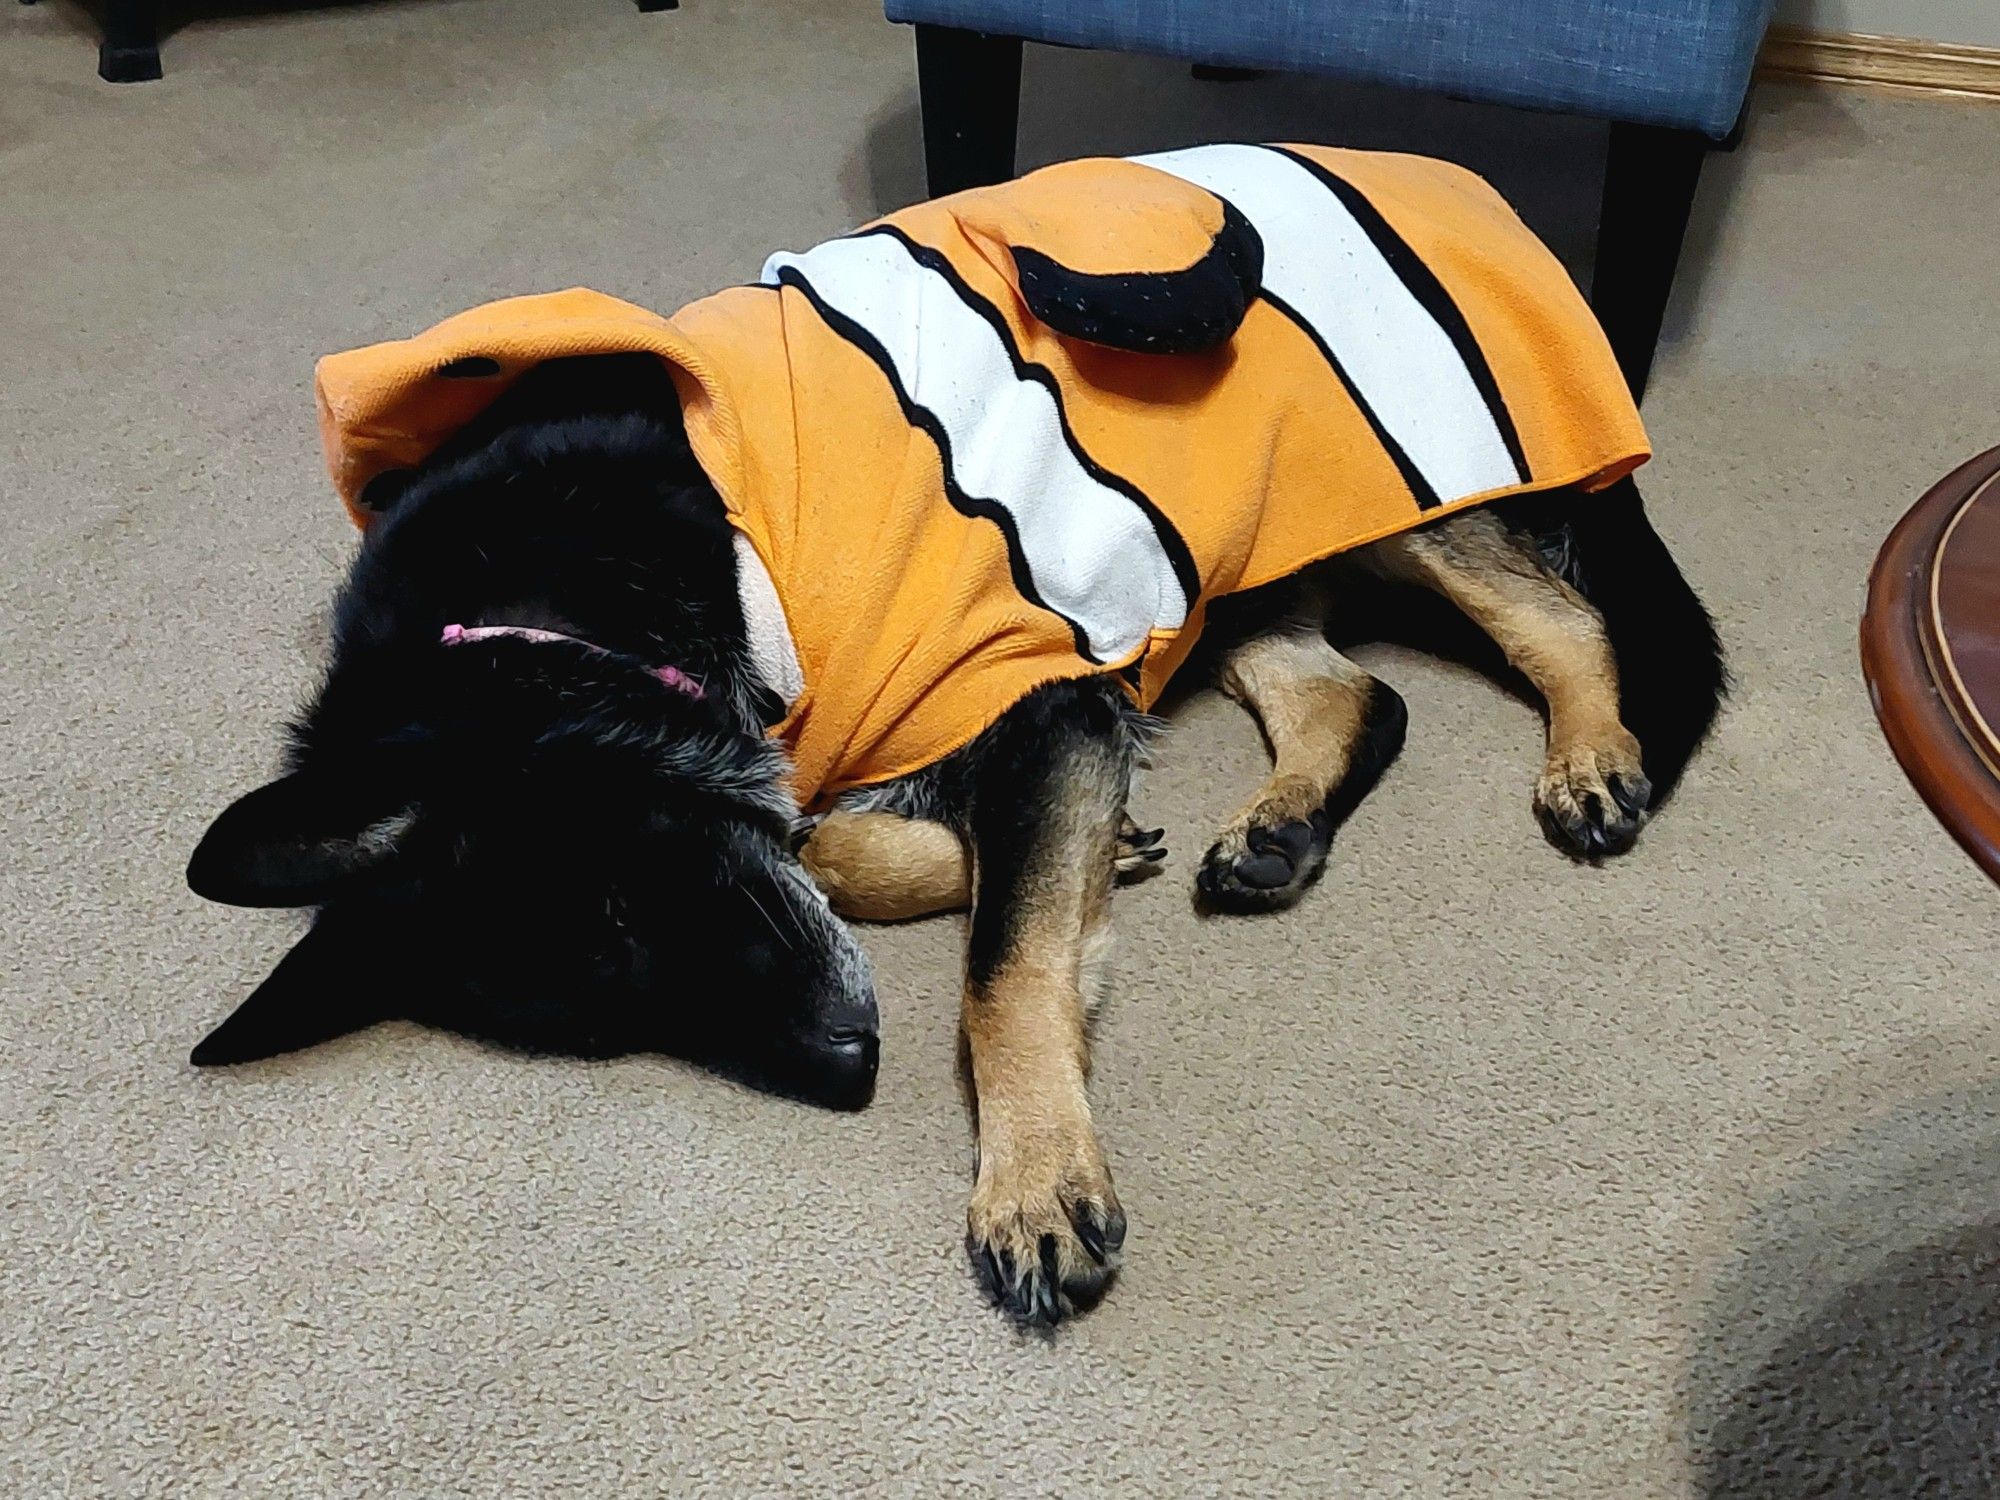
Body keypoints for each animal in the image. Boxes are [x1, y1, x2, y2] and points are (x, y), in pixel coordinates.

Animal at [184, 147, 1720, 1328]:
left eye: (628, 913)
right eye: (608, 1015)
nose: (845, 1069)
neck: (548, 620)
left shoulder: (1034, 686)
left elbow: (999, 971)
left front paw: (1031, 1178)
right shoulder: (1033, 701)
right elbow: (852, 845)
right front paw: (1004, 863)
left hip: (1387, 500)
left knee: (1562, 621)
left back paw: (1590, 755)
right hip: (1227, 568)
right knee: (1355, 694)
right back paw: (1275, 825)